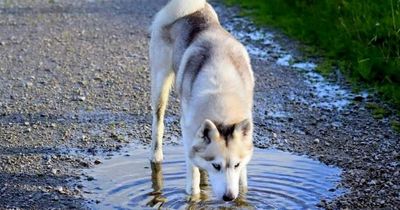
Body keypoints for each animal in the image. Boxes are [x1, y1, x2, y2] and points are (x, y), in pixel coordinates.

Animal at [148, 0, 255, 201]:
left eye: (236, 165)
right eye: (216, 166)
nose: (229, 197)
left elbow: (243, 177)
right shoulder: (187, 130)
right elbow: (193, 169)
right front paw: (193, 194)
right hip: (160, 83)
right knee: (158, 122)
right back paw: (156, 155)